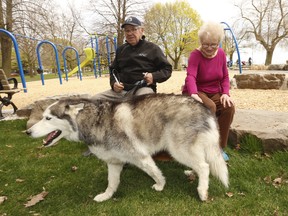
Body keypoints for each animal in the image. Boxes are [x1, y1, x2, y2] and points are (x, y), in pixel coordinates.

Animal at [27, 93, 230, 202]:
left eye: (48, 118)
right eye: (43, 116)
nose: (28, 132)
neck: (96, 121)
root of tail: (203, 107)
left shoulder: (141, 157)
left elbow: (155, 173)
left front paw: (160, 185)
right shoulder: (114, 162)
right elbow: (112, 182)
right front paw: (106, 196)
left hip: (178, 150)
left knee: (204, 166)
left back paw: (202, 191)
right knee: (202, 164)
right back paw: (193, 174)